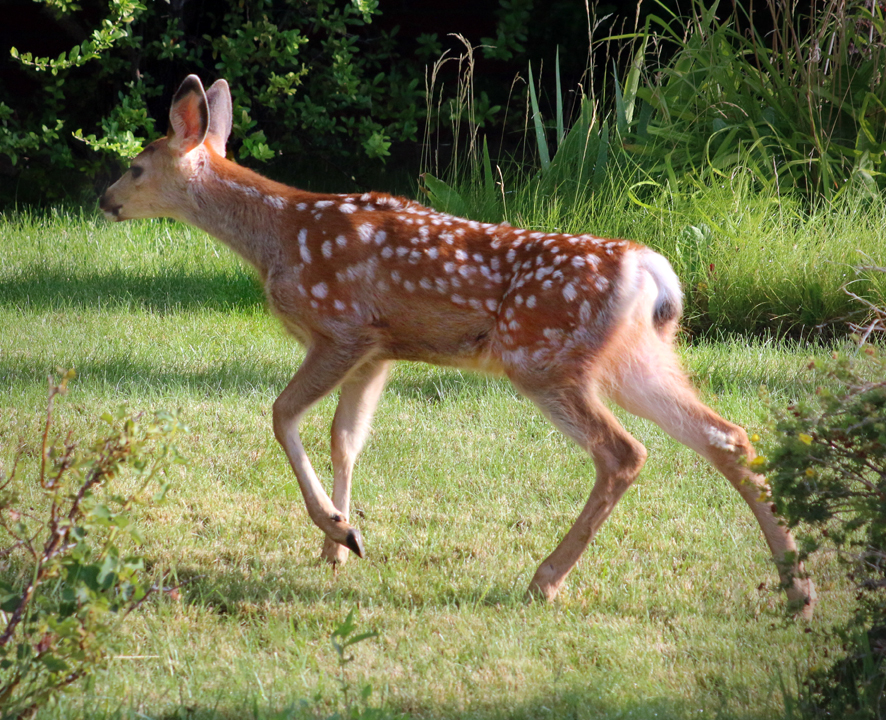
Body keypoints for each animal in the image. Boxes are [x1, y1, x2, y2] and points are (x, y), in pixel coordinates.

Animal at [99, 74, 817, 617]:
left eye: (134, 166)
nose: (104, 199)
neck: (278, 236)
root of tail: (650, 269)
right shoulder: (378, 351)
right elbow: (345, 438)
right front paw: (340, 542)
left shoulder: (342, 327)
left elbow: (282, 416)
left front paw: (336, 528)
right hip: (637, 359)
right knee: (728, 437)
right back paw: (798, 589)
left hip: (543, 357)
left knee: (624, 452)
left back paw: (544, 580)